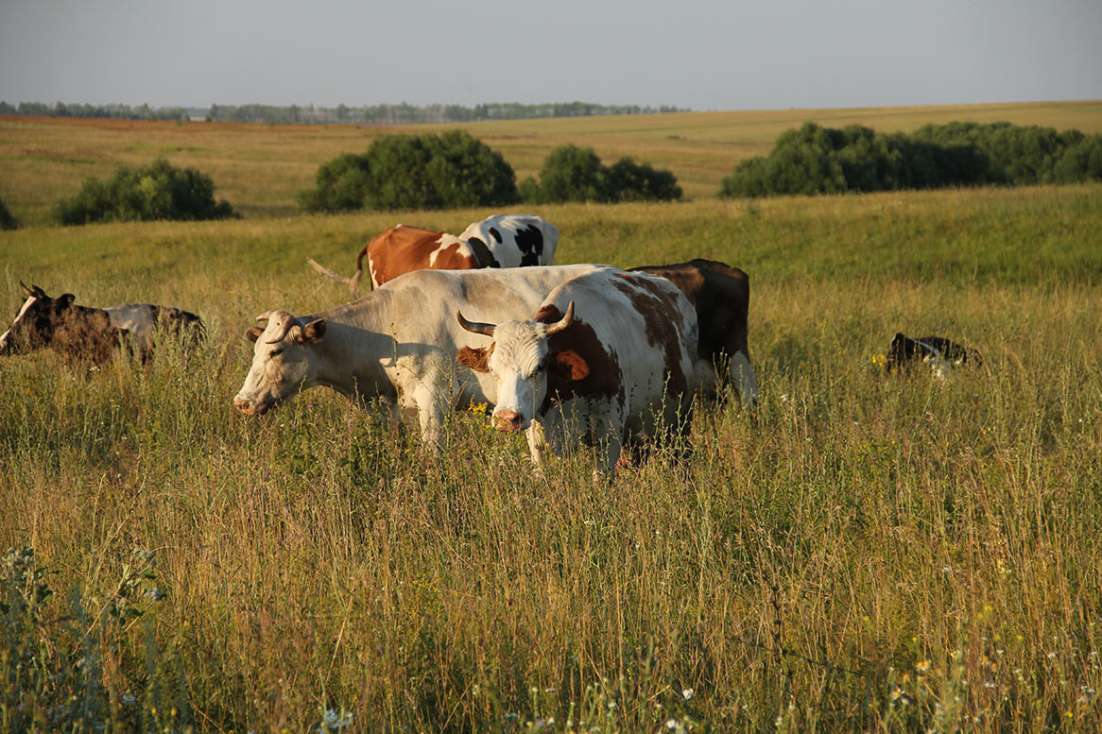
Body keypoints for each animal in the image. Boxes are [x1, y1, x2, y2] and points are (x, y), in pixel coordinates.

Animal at [456, 264, 705, 473]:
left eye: (538, 368)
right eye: (494, 371)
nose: (506, 419)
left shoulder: (610, 430)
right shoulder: (537, 435)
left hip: (679, 419)